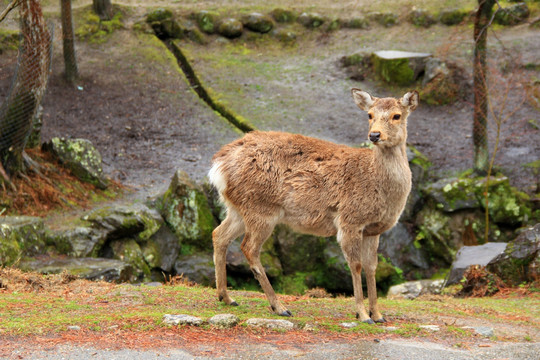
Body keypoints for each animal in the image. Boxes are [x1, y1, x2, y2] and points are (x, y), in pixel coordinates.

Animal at [207, 88, 418, 324]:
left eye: (396, 115)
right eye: (370, 115)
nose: (374, 135)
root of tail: (218, 166)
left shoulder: (373, 229)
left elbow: (372, 267)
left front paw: (378, 315)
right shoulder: (349, 220)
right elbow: (355, 265)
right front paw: (363, 315)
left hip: (237, 208)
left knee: (219, 235)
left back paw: (226, 297)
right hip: (261, 208)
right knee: (249, 247)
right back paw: (279, 307)